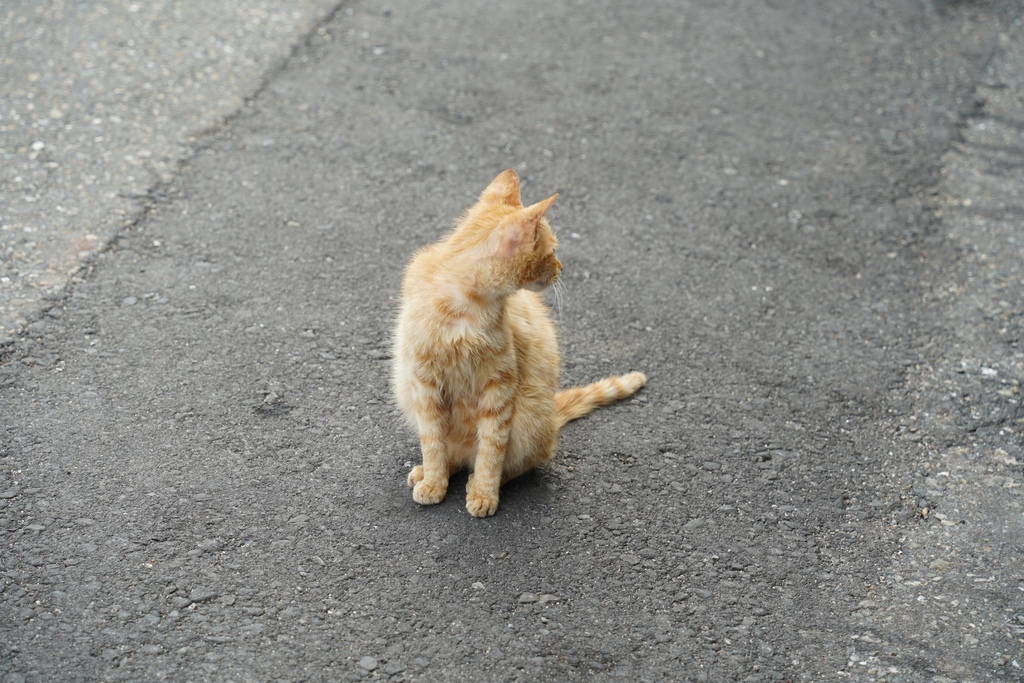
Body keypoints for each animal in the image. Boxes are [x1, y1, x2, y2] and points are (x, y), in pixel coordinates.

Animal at [391, 169, 647, 518]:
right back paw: (427, 472)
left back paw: (476, 480)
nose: (562, 268)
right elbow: (432, 441)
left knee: (520, 460)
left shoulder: (499, 384)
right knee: (455, 452)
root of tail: (552, 416)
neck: (461, 306)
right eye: (552, 252)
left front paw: (484, 492)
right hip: (406, 390)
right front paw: (433, 481)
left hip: (529, 412)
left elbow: (492, 448)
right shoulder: (424, 382)